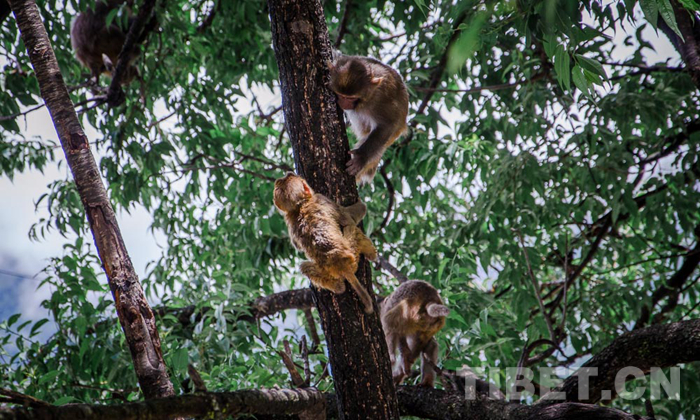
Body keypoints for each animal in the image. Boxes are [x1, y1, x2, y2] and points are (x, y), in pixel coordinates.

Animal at [272, 172, 378, 314]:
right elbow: (348, 217)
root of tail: (341, 265)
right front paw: (361, 203)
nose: (289, 172)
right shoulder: (322, 199)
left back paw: (338, 286)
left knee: (304, 266)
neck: (299, 207)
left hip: (324, 270)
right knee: (351, 228)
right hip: (352, 253)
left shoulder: (289, 221)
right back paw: (371, 253)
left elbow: (297, 245)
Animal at [330, 53, 410, 184]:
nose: (344, 103)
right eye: (342, 95)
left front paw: (361, 157)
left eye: (351, 98)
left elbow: (387, 124)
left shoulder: (379, 99)